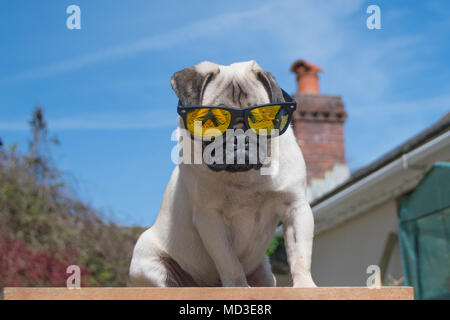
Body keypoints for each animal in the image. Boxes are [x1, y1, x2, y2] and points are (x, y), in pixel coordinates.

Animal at [128, 60, 314, 288]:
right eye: (210, 121)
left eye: (262, 120)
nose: (240, 135)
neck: (244, 175)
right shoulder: (211, 219)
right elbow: (229, 262)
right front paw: (239, 287)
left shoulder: (295, 208)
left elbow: (300, 254)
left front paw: (305, 285)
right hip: (147, 261)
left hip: (265, 273)